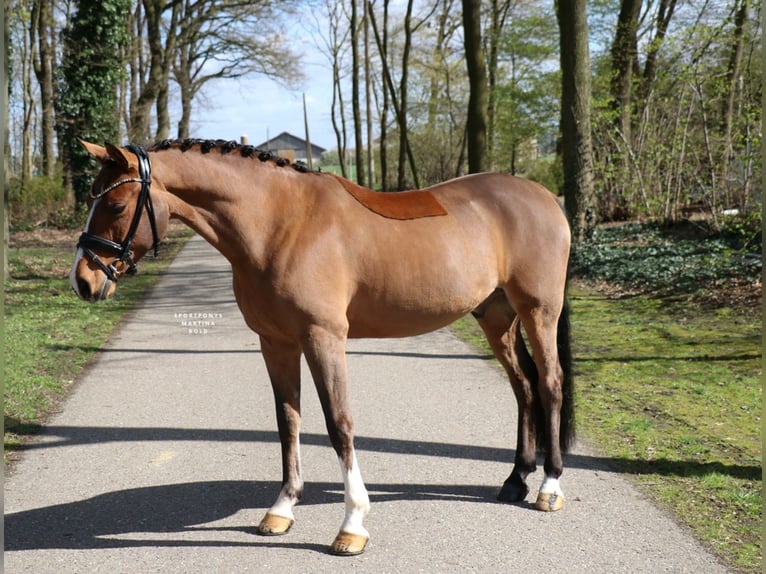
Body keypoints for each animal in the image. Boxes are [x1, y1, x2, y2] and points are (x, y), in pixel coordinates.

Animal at [70, 139, 575, 556]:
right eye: (92, 197)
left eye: (115, 202)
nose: (84, 281)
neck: (280, 223)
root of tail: (543, 196)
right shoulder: (275, 342)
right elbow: (288, 422)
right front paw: (281, 510)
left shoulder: (323, 338)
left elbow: (339, 425)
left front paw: (352, 525)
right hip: (496, 317)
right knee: (523, 386)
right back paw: (515, 480)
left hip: (539, 311)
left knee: (550, 383)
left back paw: (549, 486)